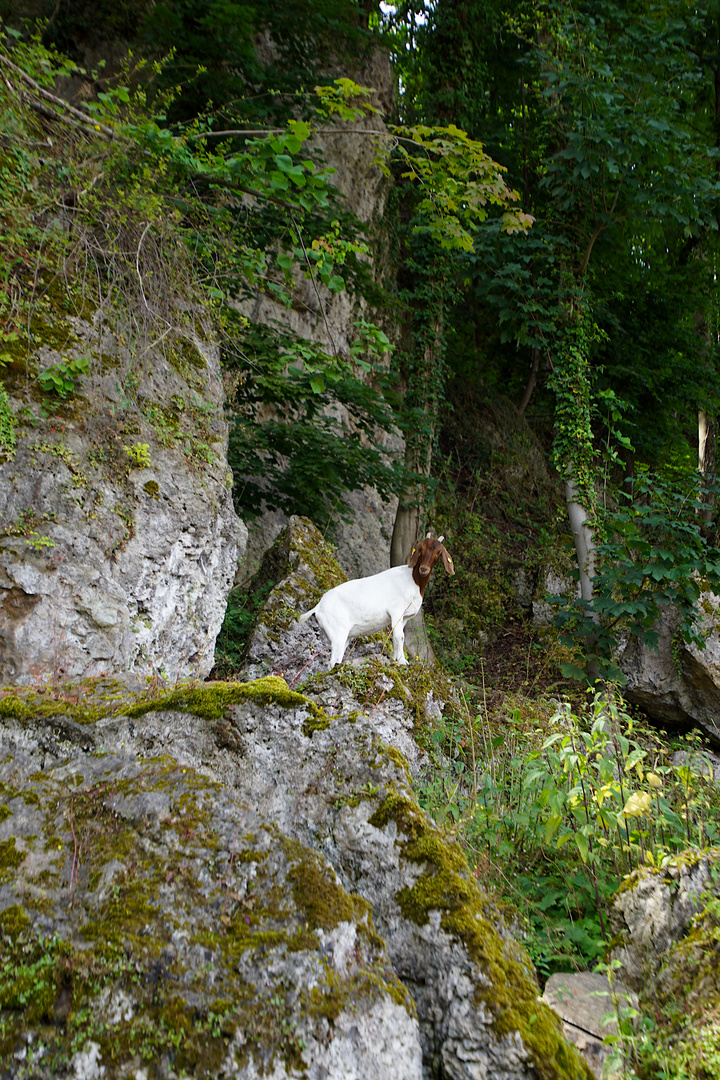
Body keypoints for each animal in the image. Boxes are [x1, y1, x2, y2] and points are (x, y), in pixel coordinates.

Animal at [297, 531, 455, 665]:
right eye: (420, 549)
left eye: (438, 552)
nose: (423, 569)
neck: (412, 580)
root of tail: (318, 607)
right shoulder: (396, 612)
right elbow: (400, 637)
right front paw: (403, 662)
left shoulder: (404, 617)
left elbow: (396, 637)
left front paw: (396, 659)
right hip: (338, 633)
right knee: (332, 662)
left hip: (345, 636)